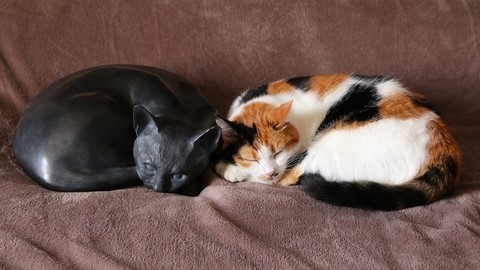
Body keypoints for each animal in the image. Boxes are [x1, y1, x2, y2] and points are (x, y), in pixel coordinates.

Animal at [215, 74, 462, 211]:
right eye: (251, 158)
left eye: (278, 152)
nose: (270, 171)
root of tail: (446, 151)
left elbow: (273, 177)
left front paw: (230, 169)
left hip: (329, 145)